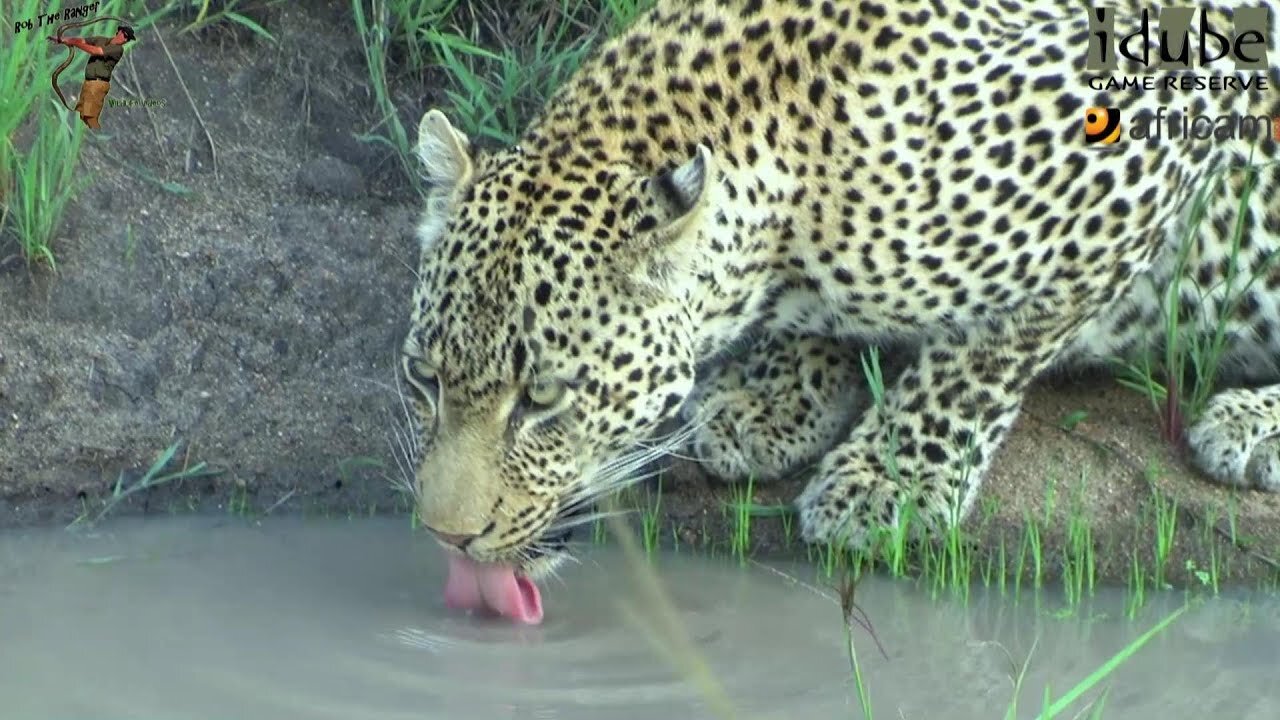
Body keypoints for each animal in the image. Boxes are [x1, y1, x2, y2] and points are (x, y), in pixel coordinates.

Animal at [396, 0, 1280, 617]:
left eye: (543, 398)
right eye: (422, 378)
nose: (443, 535)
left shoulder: (1134, 143)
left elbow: (984, 352)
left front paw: (891, 480)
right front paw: (774, 394)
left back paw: (1249, 424)